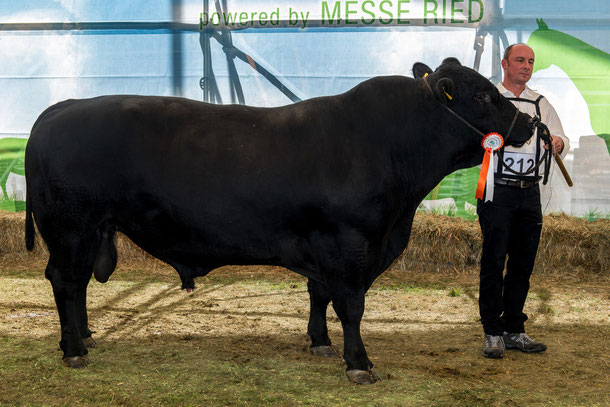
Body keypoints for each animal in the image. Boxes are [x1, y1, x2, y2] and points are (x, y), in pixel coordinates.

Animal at [21, 58, 528, 386]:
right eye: (482, 93)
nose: (527, 124)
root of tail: (62, 107)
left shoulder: (325, 245)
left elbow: (319, 295)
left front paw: (320, 343)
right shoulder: (350, 243)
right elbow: (351, 305)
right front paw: (359, 363)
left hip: (90, 230)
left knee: (77, 285)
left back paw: (85, 337)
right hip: (70, 227)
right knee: (65, 281)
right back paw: (73, 351)